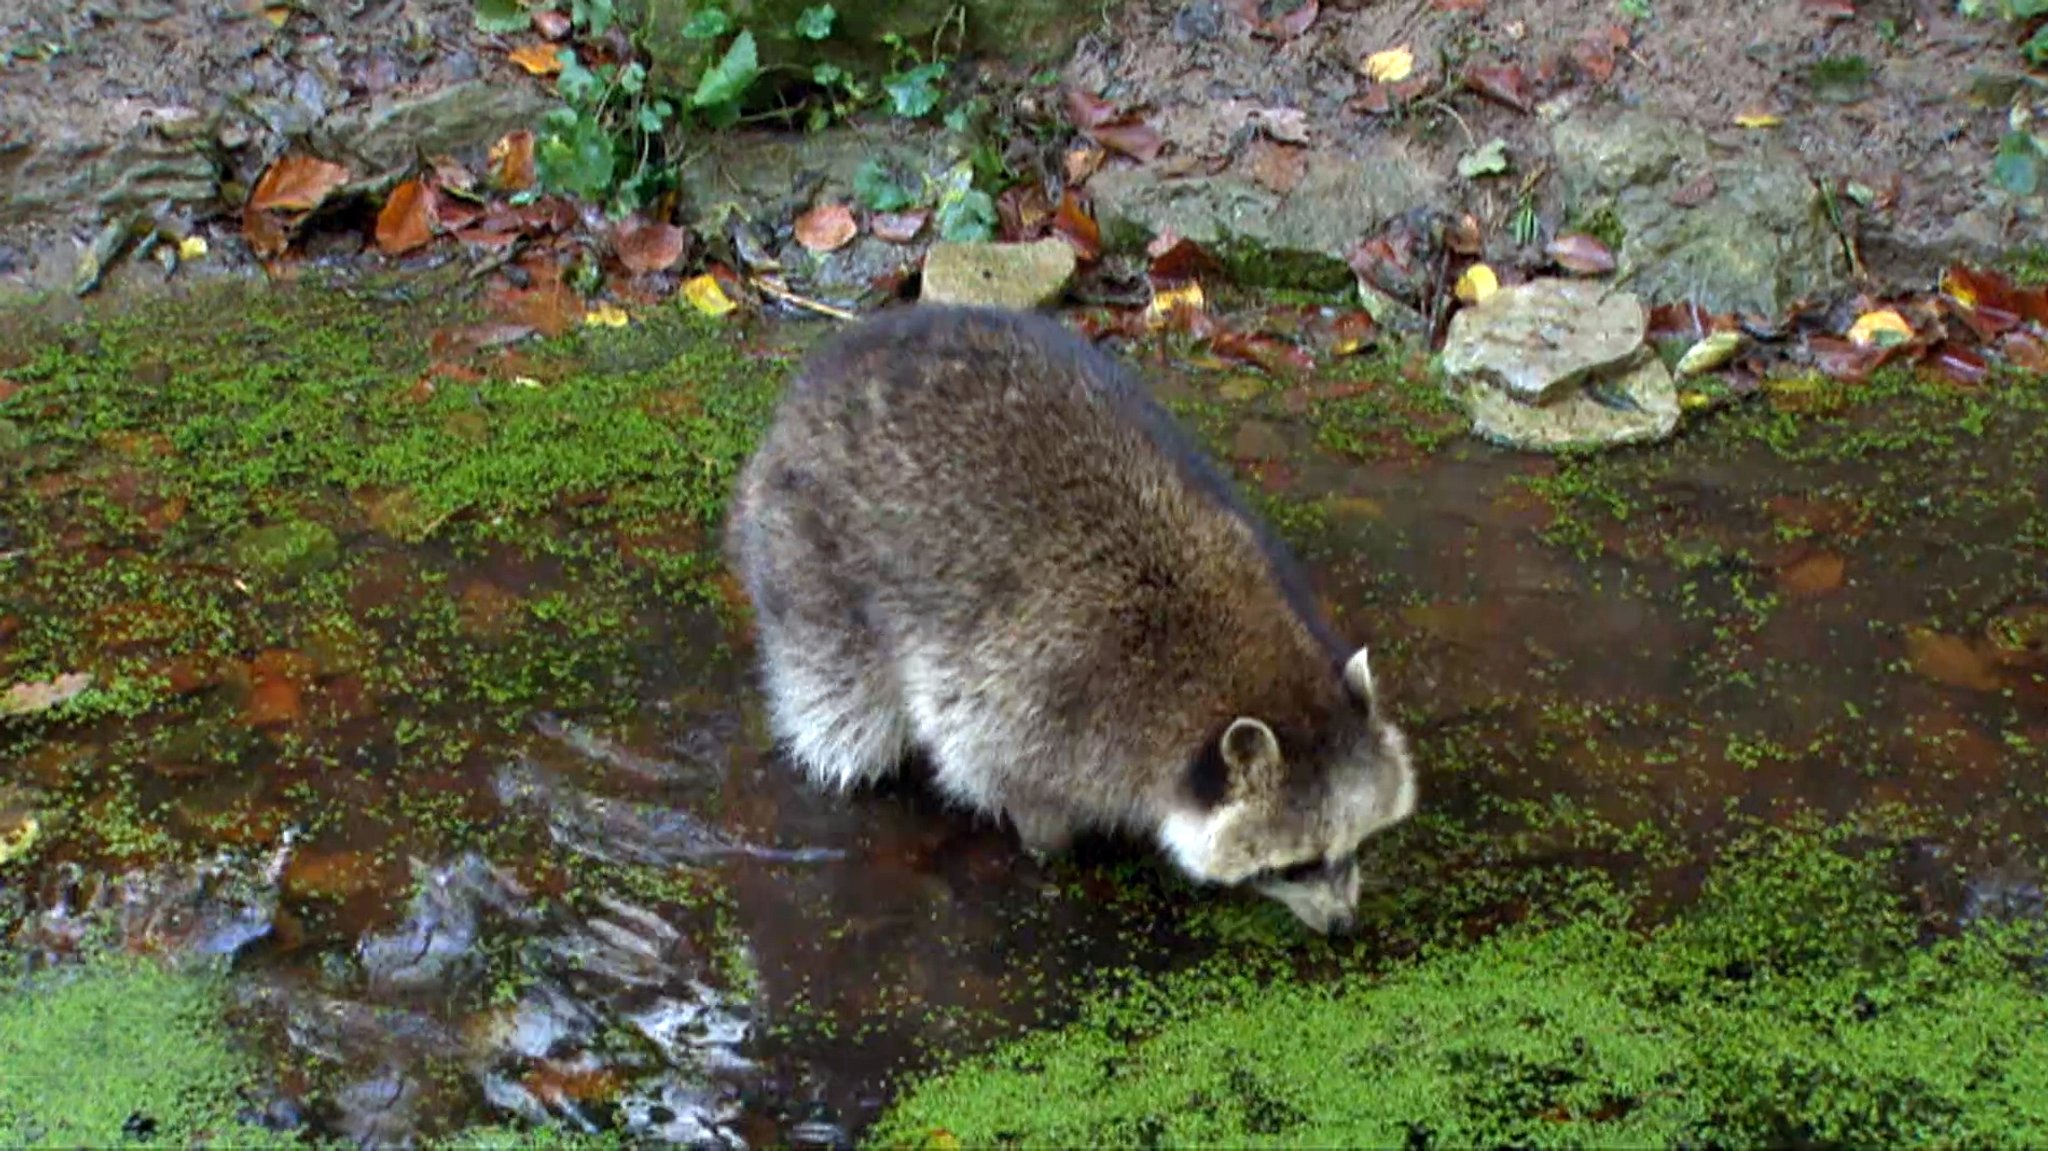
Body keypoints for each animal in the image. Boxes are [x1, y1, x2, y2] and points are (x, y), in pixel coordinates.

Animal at [729, 303, 1417, 921]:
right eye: (1296, 865)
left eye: (1357, 843)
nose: (1344, 924)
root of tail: (825, 368)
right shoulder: (1041, 699)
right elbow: (1003, 772)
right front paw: (1050, 840)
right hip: (811, 553)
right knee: (842, 701)